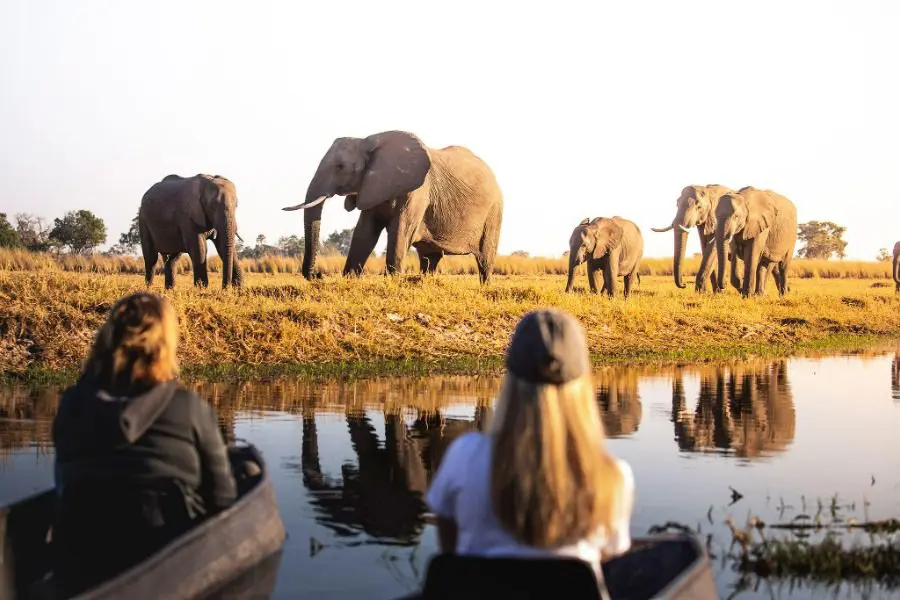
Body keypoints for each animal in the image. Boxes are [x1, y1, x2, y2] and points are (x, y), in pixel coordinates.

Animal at [282, 129, 502, 284]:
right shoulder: (372, 186)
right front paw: (350, 279)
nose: (318, 275)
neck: (367, 142)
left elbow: (400, 231)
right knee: (430, 257)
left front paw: (392, 281)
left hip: (494, 211)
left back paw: (484, 288)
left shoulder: (418, 191)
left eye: (340, 167)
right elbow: (364, 231)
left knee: (484, 259)